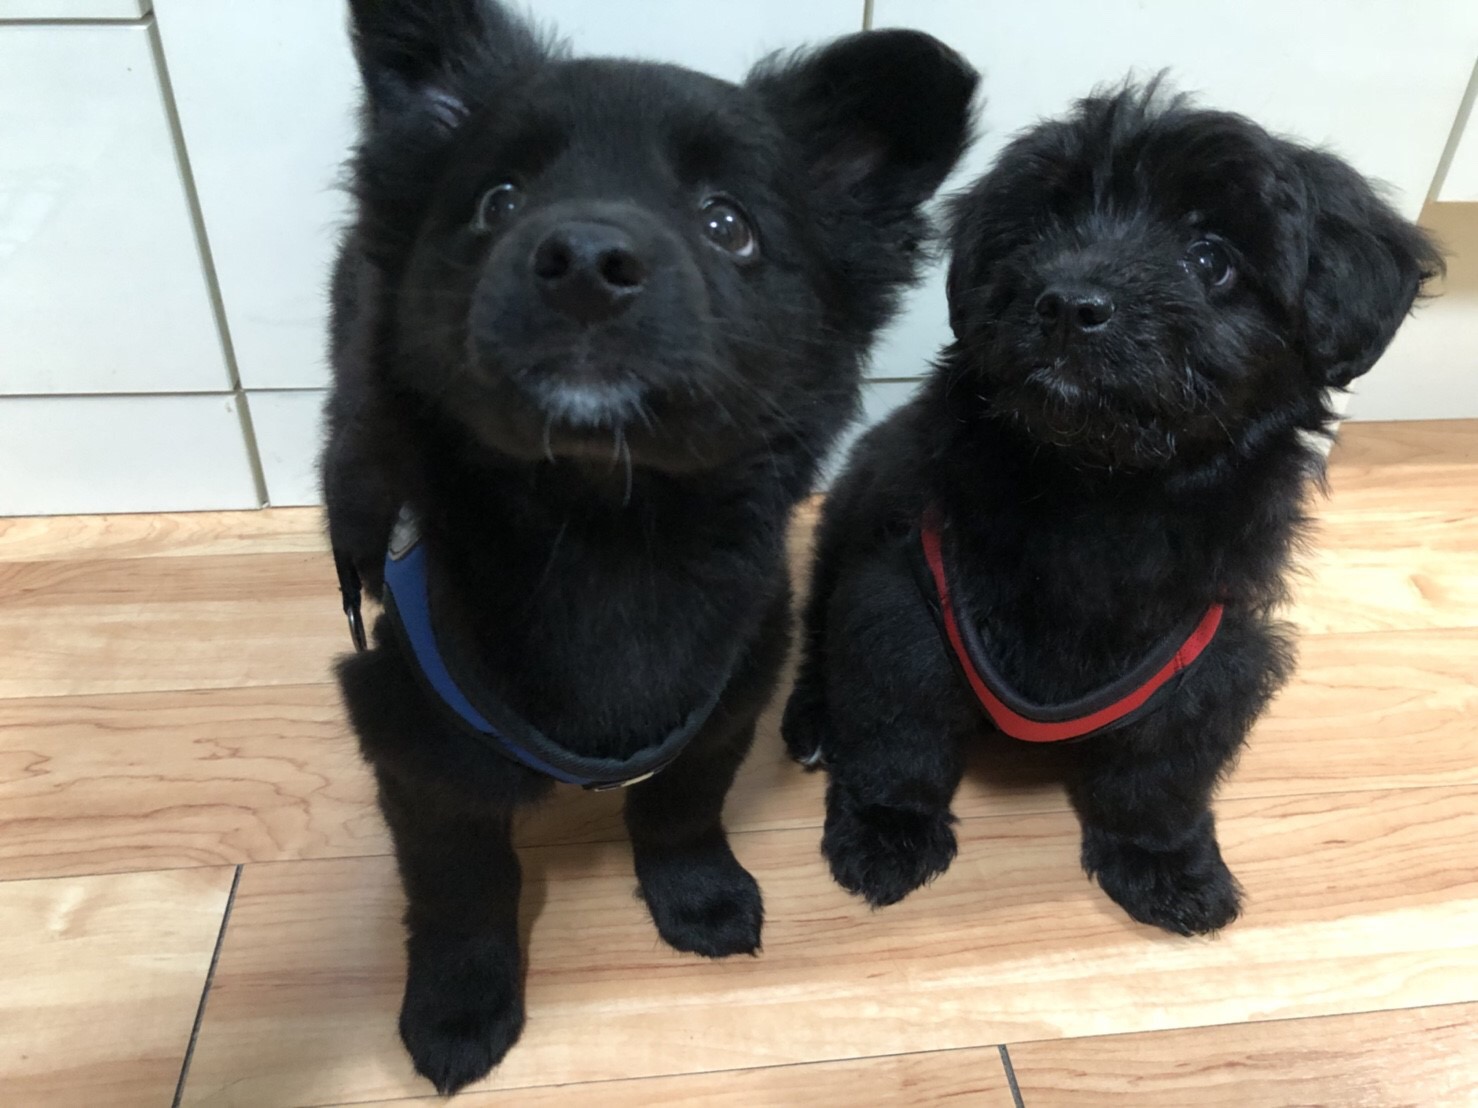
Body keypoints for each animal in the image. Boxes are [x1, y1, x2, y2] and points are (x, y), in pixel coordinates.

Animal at [321, 0, 977, 1092]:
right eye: (498, 200)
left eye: (728, 225)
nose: (586, 260)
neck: (606, 524)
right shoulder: (416, 744)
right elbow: (462, 886)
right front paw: (459, 1006)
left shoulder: (731, 691)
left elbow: (681, 806)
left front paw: (698, 897)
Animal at [783, 83, 1441, 937]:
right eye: (1040, 230)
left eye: (1211, 259)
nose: (1067, 303)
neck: (1102, 484)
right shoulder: (907, 597)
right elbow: (903, 724)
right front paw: (888, 829)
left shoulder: (1212, 649)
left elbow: (1164, 765)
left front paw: (1163, 862)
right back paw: (812, 723)